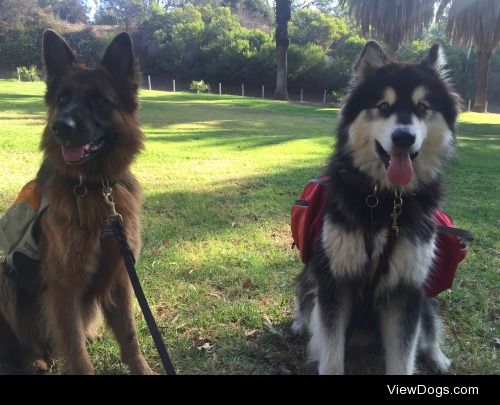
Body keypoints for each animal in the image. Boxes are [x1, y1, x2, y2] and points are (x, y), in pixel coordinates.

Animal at [0, 30, 153, 374]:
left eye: (99, 101)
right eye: (62, 100)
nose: (61, 126)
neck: (94, 189)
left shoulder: (120, 276)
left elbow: (130, 337)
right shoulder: (63, 288)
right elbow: (76, 352)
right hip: (6, 279)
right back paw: (32, 359)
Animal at [292, 41, 460, 372]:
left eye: (423, 107)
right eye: (383, 106)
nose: (404, 137)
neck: (386, 202)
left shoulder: (408, 289)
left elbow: (404, 357)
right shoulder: (334, 281)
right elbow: (331, 354)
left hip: (426, 299)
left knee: (429, 330)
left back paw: (438, 357)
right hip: (309, 279)